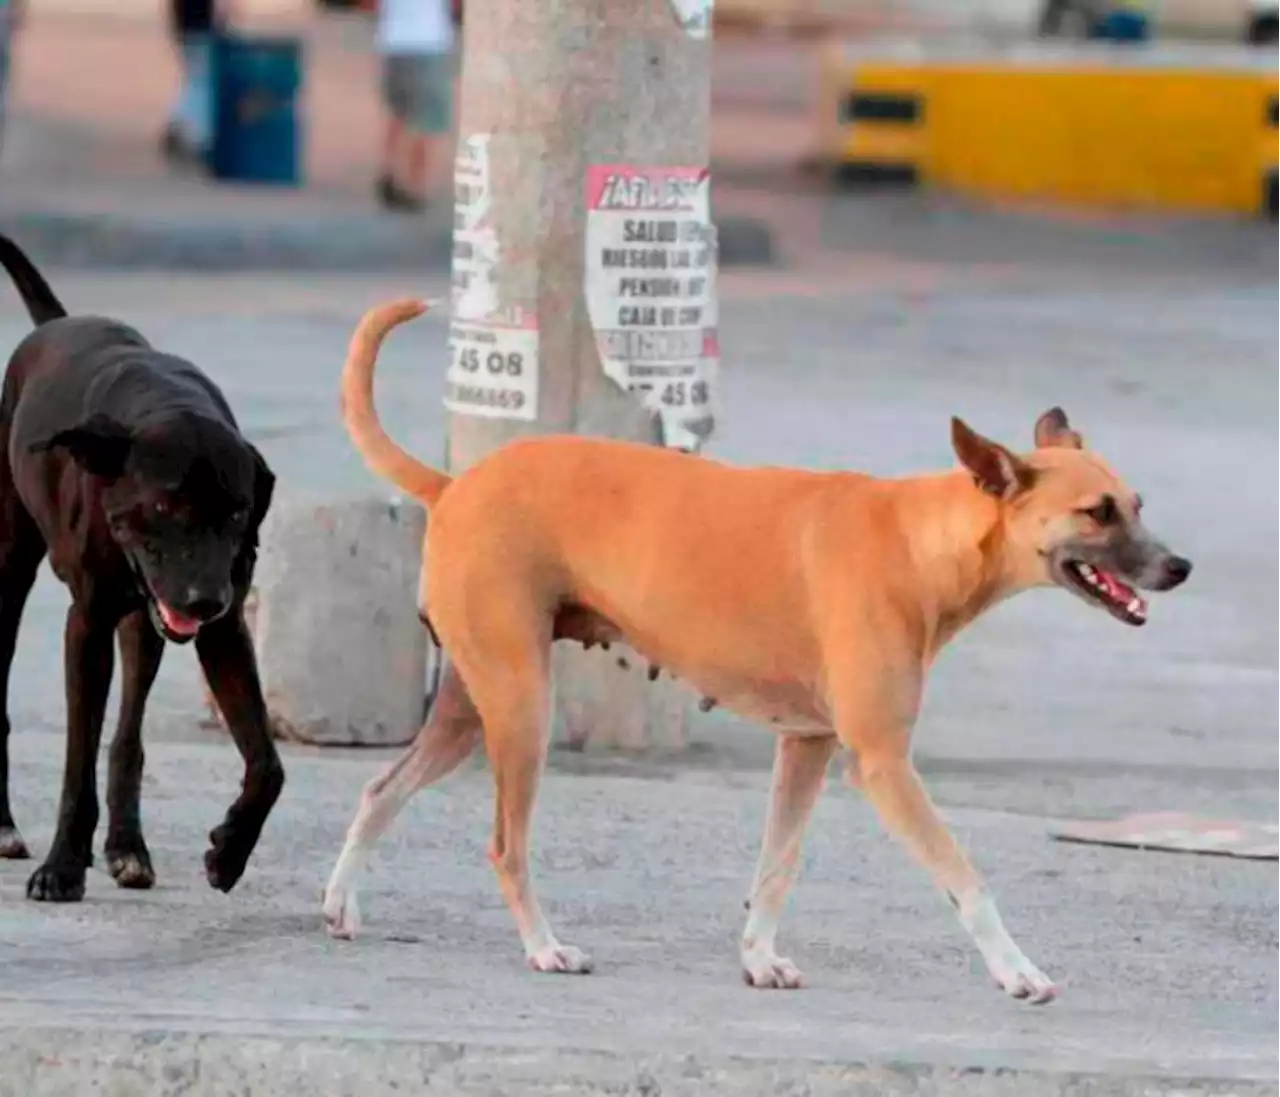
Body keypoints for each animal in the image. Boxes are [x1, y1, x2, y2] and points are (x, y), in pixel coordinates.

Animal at [0, 235, 282, 901]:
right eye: (163, 507)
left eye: (237, 513)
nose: (203, 599)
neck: (164, 403)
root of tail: (54, 323)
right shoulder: (87, 624)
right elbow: (76, 759)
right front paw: (61, 868)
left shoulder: (224, 632)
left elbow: (267, 762)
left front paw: (231, 850)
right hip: (11, 564)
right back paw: (6, 827)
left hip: (144, 627)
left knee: (128, 733)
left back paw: (128, 847)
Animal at [320, 296, 1187, 1003]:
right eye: (1099, 511)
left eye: (1139, 502)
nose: (1180, 566)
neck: (919, 541)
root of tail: (455, 484)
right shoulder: (882, 763)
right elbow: (963, 877)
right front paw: (1017, 970)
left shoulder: (805, 745)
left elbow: (776, 866)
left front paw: (758, 958)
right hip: (522, 708)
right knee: (505, 845)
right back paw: (543, 947)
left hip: (472, 706)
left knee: (380, 791)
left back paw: (340, 902)